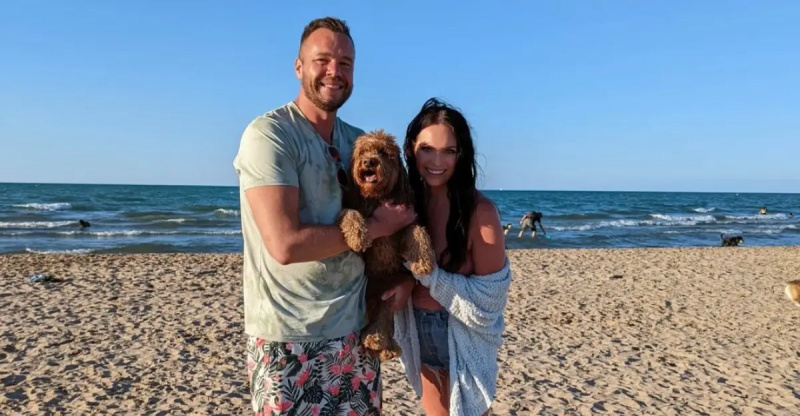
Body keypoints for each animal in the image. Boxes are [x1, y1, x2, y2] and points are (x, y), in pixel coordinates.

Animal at [334, 128, 434, 360]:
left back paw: (382, 343)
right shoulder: (352, 209)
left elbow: (418, 231)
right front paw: (358, 234)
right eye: (363, 152)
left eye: (383, 152)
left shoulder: (406, 221)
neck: (376, 197)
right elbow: (350, 213)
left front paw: (423, 261)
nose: (369, 162)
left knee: (383, 316)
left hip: (389, 290)